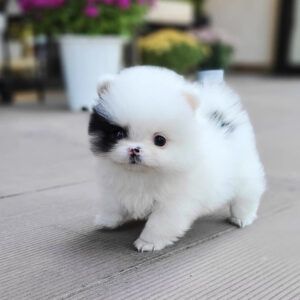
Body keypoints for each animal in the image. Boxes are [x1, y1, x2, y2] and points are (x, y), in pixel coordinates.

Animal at [88, 65, 264, 251]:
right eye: (118, 134)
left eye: (160, 140)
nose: (134, 149)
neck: (142, 174)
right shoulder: (114, 186)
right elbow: (112, 204)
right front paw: (106, 220)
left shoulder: (174, 202)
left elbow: (160, 223)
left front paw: (148, 242)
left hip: (244, 173)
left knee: (247, 195)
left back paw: (242, 217)